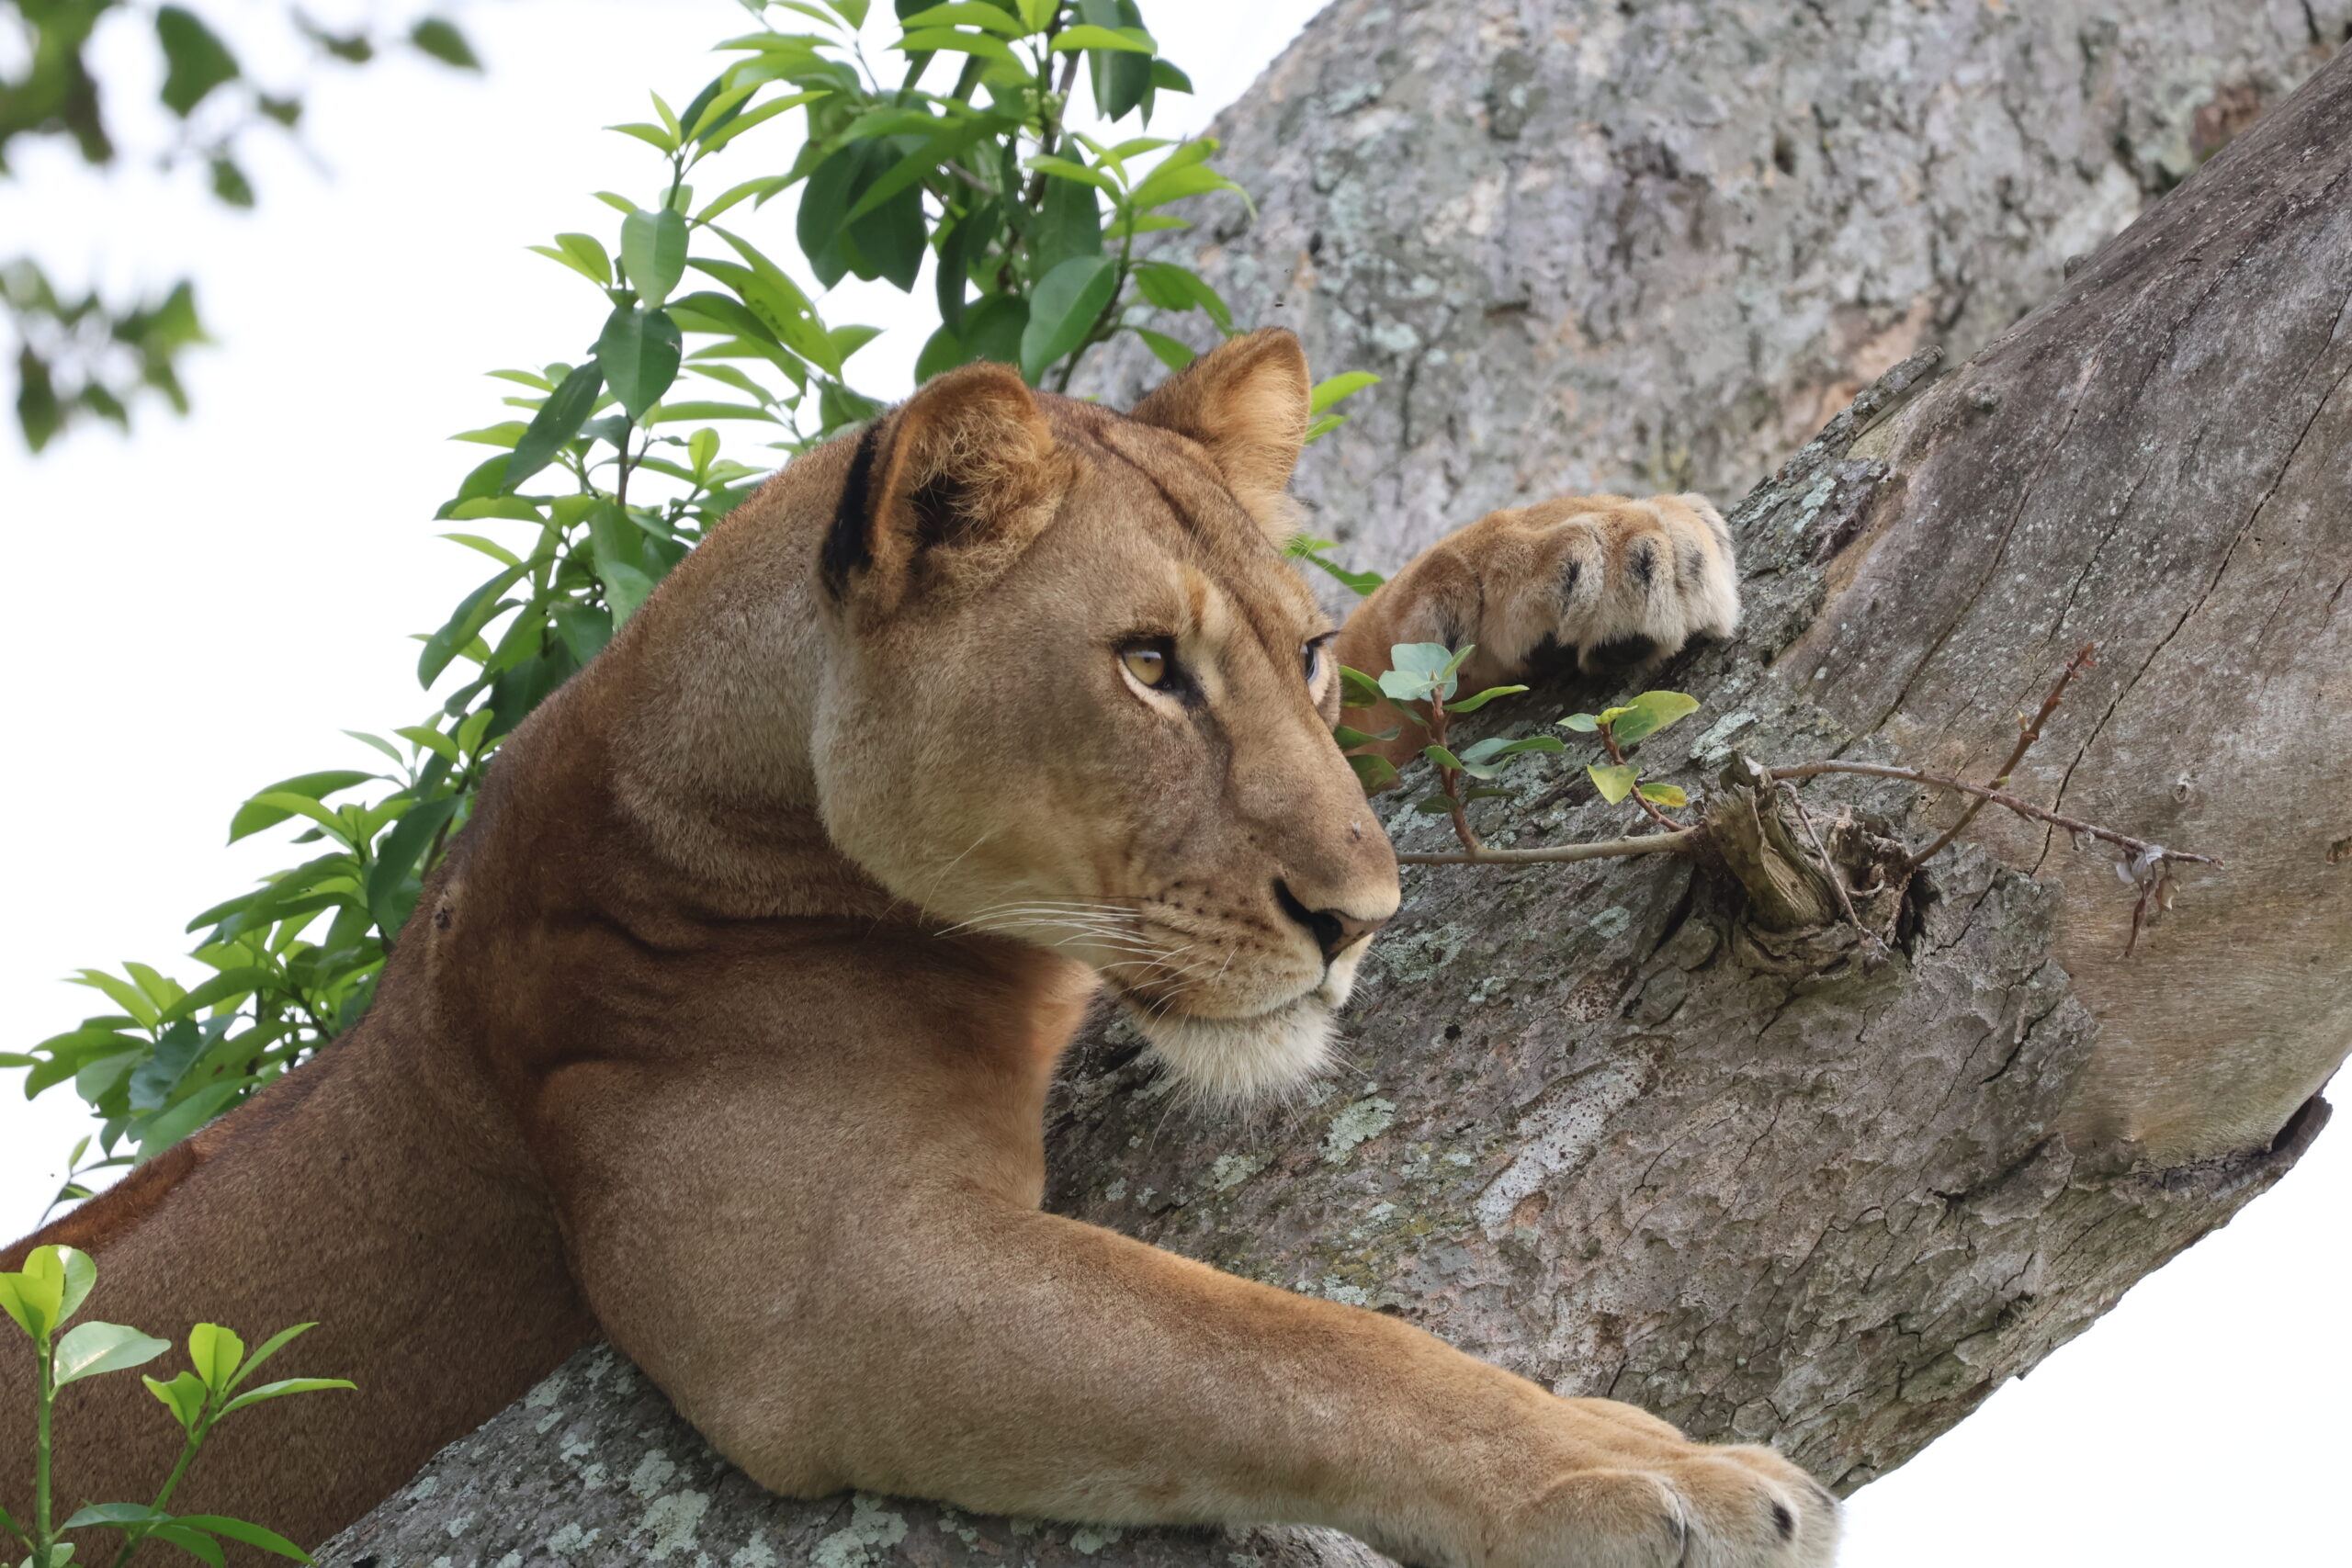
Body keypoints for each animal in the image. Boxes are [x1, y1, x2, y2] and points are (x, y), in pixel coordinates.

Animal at [2, 330, 1834, 1567]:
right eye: (1147, 665)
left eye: (1299, 655)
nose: (1360, 922)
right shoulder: (831, 1296)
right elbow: (1280, 1351)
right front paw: (1629, 1477)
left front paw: (1596, 548)